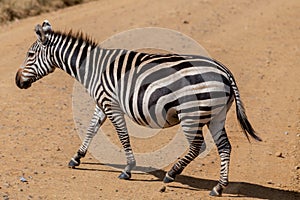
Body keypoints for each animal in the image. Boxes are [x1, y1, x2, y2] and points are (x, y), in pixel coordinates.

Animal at [15, 20, 262, 197]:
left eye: (30, 55)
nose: (17, 81)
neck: (93, 68)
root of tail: (224, 71)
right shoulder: (102, 103)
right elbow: (92, 129)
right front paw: (77, 158)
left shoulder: (110, 104)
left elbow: (122, 136)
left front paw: (127, 169)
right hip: (216, 116)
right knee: (224, 147)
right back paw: (218, 187)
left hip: (190, 113)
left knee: (197, 146)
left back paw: (172, 174)